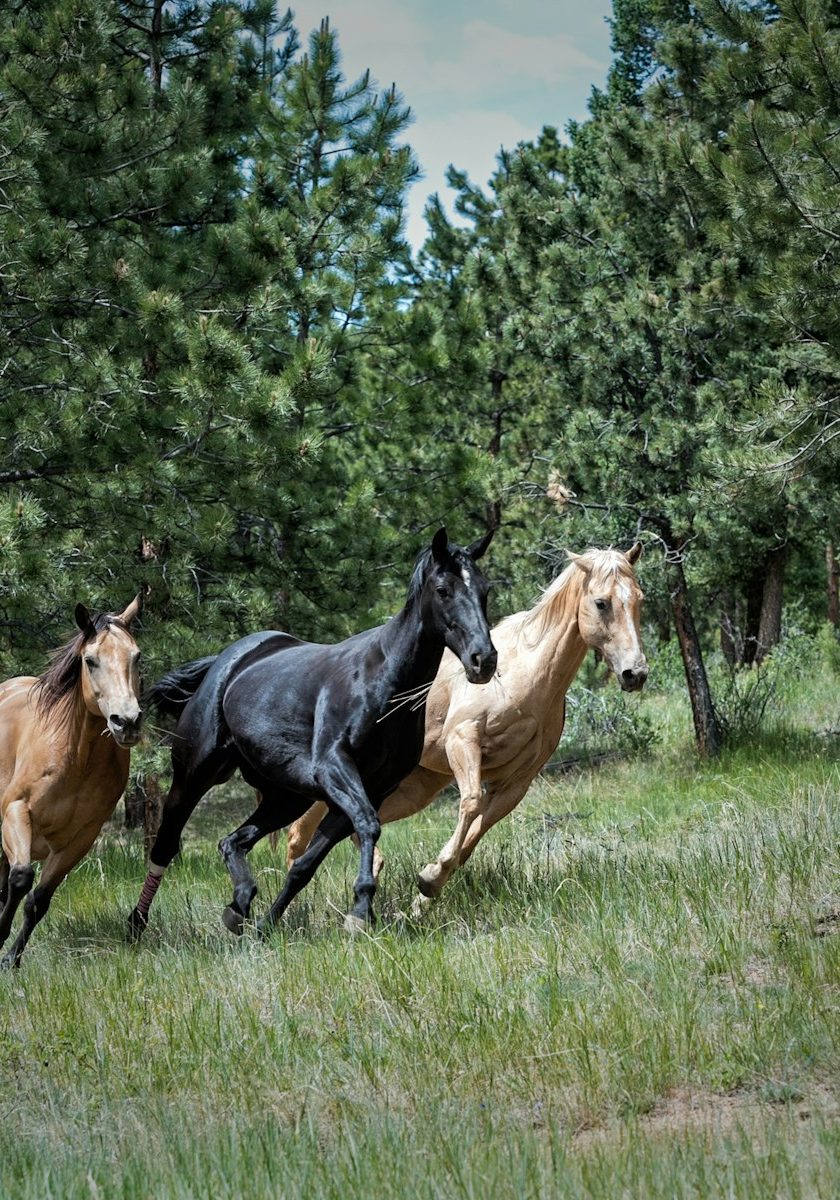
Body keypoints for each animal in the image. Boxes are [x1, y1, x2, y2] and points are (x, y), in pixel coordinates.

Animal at [0, 596, 143, 967]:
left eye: (137, 657)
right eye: (90, 660)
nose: (127, 722)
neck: (77, 759)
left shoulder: (80, 840)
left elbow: (38, 899)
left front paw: (11, 959)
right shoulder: (16, 812)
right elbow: (21, 879)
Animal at [127, 527, 498, 941]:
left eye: (484, 589)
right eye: (443, 589)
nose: (484, 660)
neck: (384, 683)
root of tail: (225, 662)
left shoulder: (367, 789)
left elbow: (305, 865)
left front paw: (267, 925)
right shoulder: (335, 769)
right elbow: (368, 824)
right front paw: (359, 910)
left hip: (286, 797)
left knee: (232, 841)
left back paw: (239, 905)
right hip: (194, 775)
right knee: (165, 844)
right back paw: (137, 923)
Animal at [286, 544, 647, 915]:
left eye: (638, 599)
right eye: (601, 602)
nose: (635, 673)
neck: (525, 673)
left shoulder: (517, 781)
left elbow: (476, 832)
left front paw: (427, 888)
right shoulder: (463, 742)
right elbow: (471, 803)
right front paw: (429, 879)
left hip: (414, 787)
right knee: (300, 832)